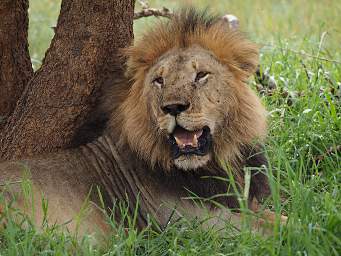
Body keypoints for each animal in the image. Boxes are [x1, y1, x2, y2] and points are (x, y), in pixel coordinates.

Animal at [0, 8, 284, 238]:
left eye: (201, 75)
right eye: (159, 80)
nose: (173, 107)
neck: (218, 162)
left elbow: (282, 216)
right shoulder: (196, 223)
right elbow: (276, 227)